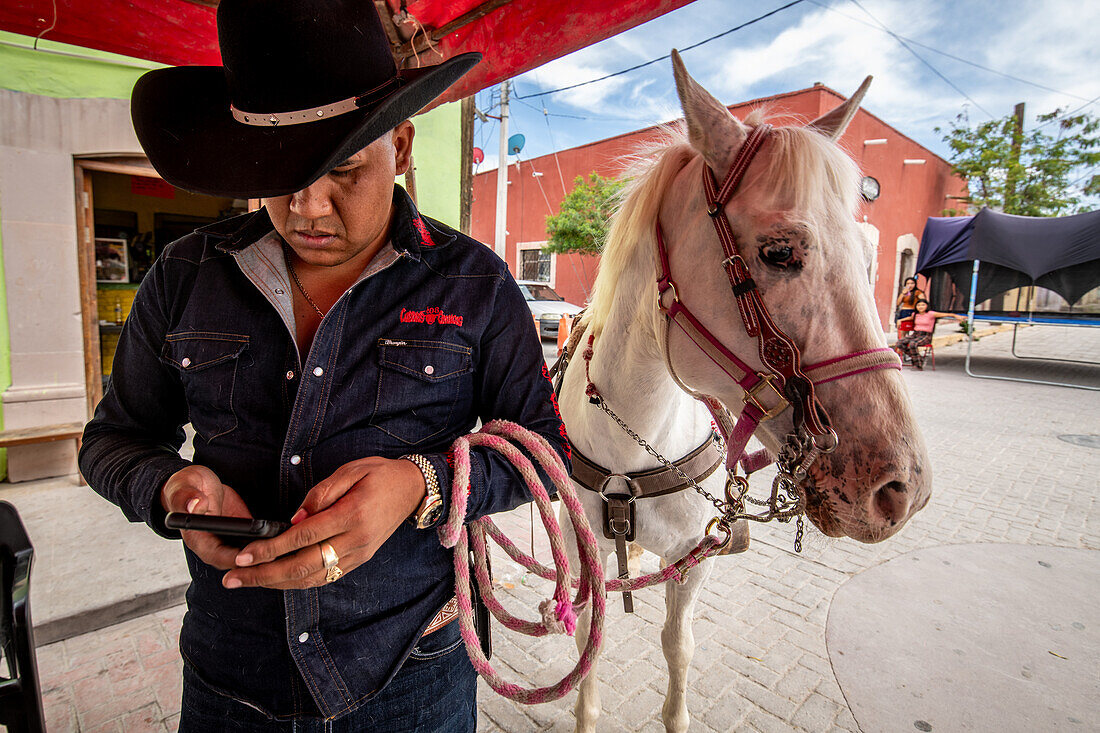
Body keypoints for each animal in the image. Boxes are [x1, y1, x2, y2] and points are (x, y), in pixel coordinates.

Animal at [558, 52, 928, 730]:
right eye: (779, 251)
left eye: (871, 262)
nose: (903, 488)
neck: (633, 440)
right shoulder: (583, 557)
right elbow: (587, 649)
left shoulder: (691, 560)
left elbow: (678, 647)